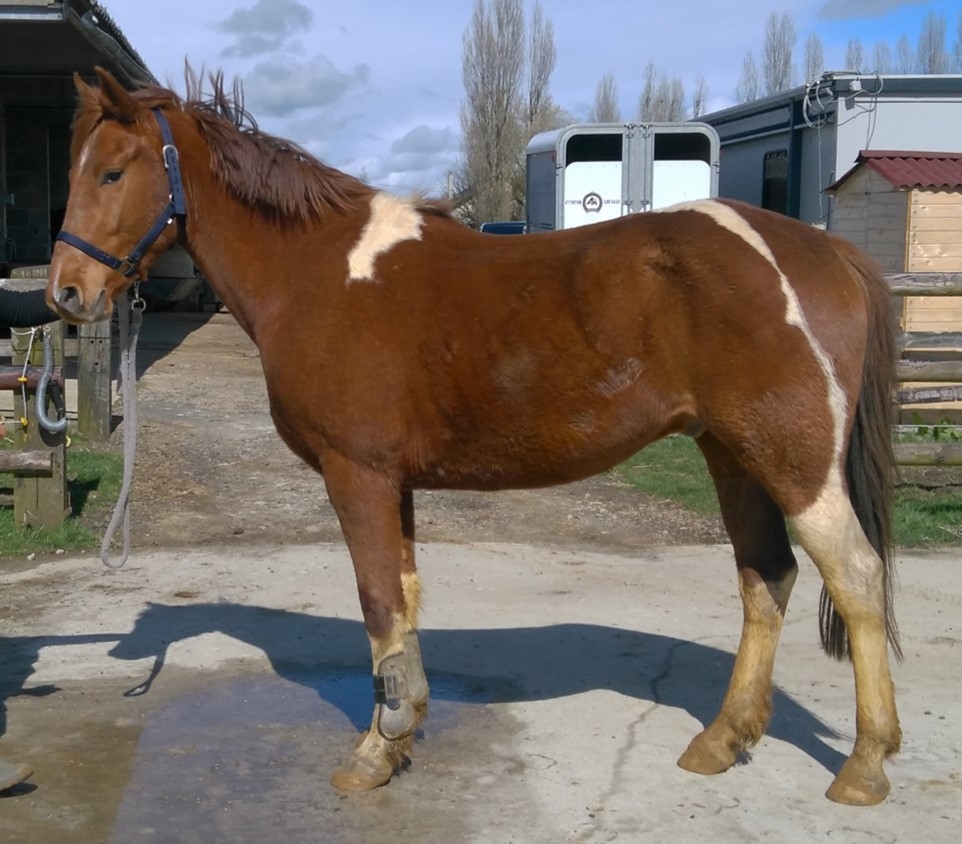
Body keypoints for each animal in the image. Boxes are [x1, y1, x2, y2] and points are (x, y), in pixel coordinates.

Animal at [46, 67, 902, 806]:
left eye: (113, 173)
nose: (66, 292)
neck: (318, 271)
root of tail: (827, 250)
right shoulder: (395, 482)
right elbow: (404, 598)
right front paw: (400, 736)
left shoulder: (356, 473)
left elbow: (378, 600)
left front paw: (373, 752)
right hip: (733, 455)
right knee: (767, 577)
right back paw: (722, 741)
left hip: (795, 464)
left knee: (857, 579)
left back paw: (864, 766)